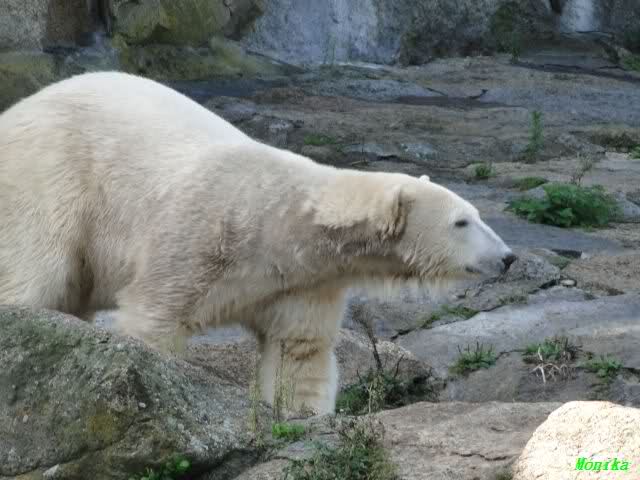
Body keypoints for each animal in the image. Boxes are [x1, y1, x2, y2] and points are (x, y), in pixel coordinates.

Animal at [0, 72, 516, 414]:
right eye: (462, 221)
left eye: (475, 215)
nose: (509, 258)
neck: (281, 224)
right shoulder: (195, 237)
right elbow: (154, 317)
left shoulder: (302, 280)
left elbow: (299, 350)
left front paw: (301, 417)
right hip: (48, 176)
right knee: (39, 273)